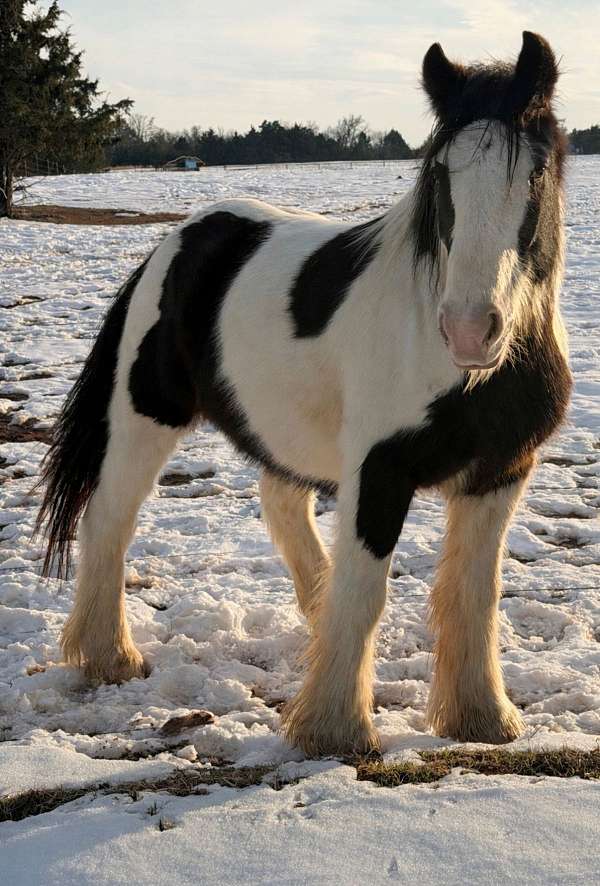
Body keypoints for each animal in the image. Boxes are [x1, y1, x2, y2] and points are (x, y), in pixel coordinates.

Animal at [36, 31, 572, 756]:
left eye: (534, 175)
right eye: (440, 178)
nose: (468, 328)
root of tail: (178, 240)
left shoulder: (501, 473)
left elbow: (475, 596)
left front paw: (482, 718)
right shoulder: (379, 470)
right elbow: (366, 589)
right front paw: (335, 729)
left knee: (281, 503)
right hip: (146, 413)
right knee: (109, 520)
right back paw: (108, 658)